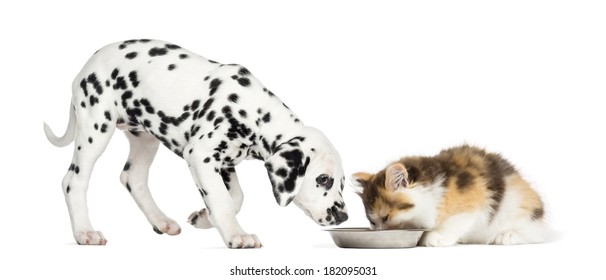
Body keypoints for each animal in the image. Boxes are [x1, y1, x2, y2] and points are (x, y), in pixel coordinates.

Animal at [45, 38, 350, 247]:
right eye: (323, 179)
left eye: (342, 183)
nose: (343, 217)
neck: (253, 110)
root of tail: (87, 65)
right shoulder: (200, 155)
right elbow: (223, 200)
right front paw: (237, 235)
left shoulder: (224, 162)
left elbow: (234, 198)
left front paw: (205, 218)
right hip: (95, 129)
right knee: (74, 181)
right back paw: (85, 232)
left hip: (145, 138)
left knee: (133, 177)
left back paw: (161, 221)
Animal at [354, 145, 548, 246]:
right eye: (372, 222)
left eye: (386, 217)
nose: (378, 231)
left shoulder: (471, 201)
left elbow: (455, 221)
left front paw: (435, 237)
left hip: (521, 212)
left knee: (534, 233)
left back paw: (506, 236)